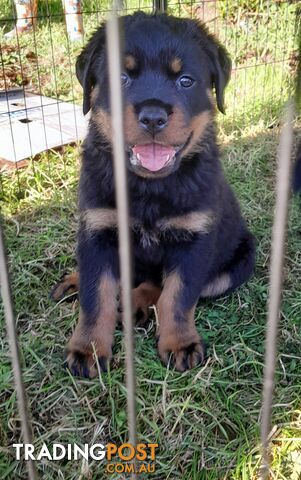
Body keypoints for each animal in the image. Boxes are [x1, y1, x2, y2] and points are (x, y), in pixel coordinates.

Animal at [52, 13, 254, 376]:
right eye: (121, 78)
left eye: (186, 81)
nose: (153, 117)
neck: (149, 187)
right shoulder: (98, 231)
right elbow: (96, 295)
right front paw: (88, 349)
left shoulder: (194, 240)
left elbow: (177, 296)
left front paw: (180, 344)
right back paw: (77, 283)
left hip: (239, 262)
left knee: (157, 285)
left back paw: (135, 305)